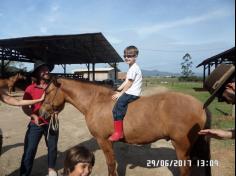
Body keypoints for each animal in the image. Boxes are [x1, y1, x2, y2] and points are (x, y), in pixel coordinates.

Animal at [39, 78, 211, 176]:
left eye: (47, 92)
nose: (41, 112)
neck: (96, 101)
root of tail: (200, 105)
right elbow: (113, 164)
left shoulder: (103, 140)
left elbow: (110, 165)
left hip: (181, 146)